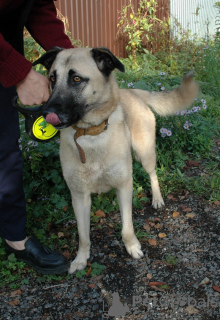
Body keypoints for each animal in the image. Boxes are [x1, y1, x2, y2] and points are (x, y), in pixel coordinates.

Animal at [33, 47, 199, 272]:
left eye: (76, 78)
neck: (91, 134)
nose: (45, 113)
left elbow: (127, 227)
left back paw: (156, 198)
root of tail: (133, 92)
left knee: (153, 174)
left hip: (144, 153)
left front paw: (132, 247)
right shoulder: (79, 196)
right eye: (52, 78)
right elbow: (83, 235)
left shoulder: (124, 185)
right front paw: (81, 259)